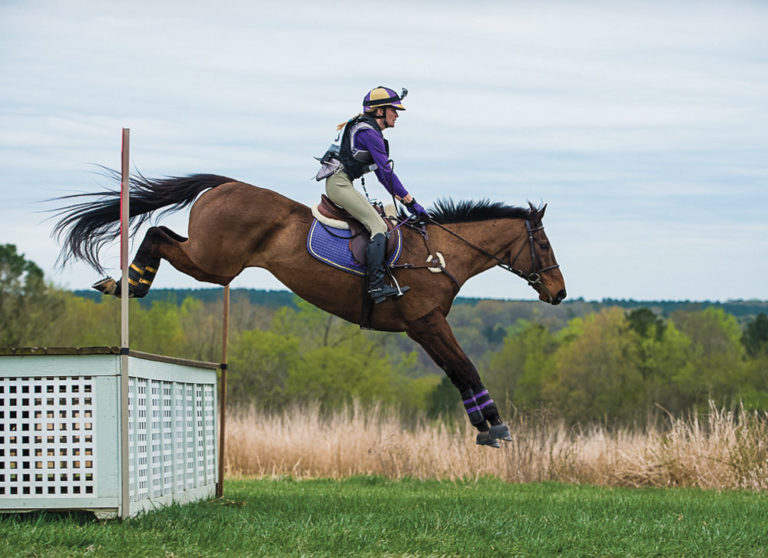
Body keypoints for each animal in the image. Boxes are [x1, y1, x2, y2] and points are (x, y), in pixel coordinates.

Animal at [53, 173, 566, 447]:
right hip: (214, 263)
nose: (559, 293)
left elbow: (459, 372)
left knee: (161, 233)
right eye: (543, 244)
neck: (441, 254)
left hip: (211, 261)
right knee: (158, 233)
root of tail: (225, 184)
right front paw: (495, 426)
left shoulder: (424, 328)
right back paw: (129, 283)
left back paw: (124, 281)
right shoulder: (427, 323)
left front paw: (485, 425)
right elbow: (466, 367)